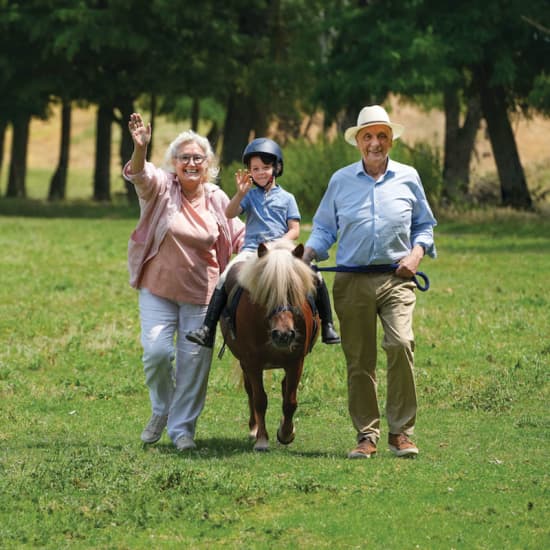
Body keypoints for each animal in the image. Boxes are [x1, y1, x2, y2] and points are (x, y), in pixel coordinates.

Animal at [220, 242, 322, 452]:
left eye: (295, 290)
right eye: (266, 293)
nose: (283, 335)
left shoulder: (296, 361)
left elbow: (290, 401)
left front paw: (286, 433)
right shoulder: (252, 363)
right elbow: (260, 399)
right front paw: (261, 439)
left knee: (284, 389)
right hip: (244, 363)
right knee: (250, 391)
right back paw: (254, 428)